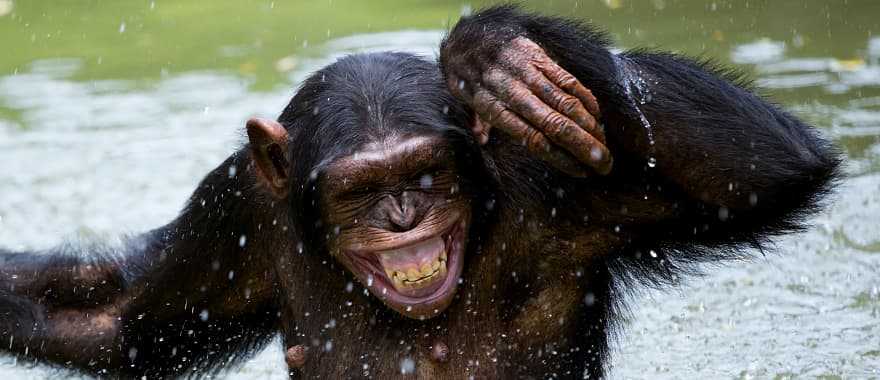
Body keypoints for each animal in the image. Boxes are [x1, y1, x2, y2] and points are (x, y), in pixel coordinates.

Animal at [0, 5, 840, 380]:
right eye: (358, 190)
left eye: (424, 173)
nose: (404, 217)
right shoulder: (233, 208)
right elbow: (116, 320)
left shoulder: (565, 189)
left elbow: (753, 172)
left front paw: (489, 49)